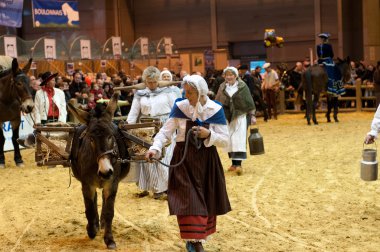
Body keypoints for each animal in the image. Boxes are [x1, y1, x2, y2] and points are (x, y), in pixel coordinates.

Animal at [69, 93, 131, 249]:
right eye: (90, 138)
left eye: (111, 136)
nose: (105, 172)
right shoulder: (87, 185)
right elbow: (89, 208)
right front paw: (92, 230)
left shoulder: (112, 184)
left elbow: (109, 212)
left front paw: (109, 239)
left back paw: (101, 223)